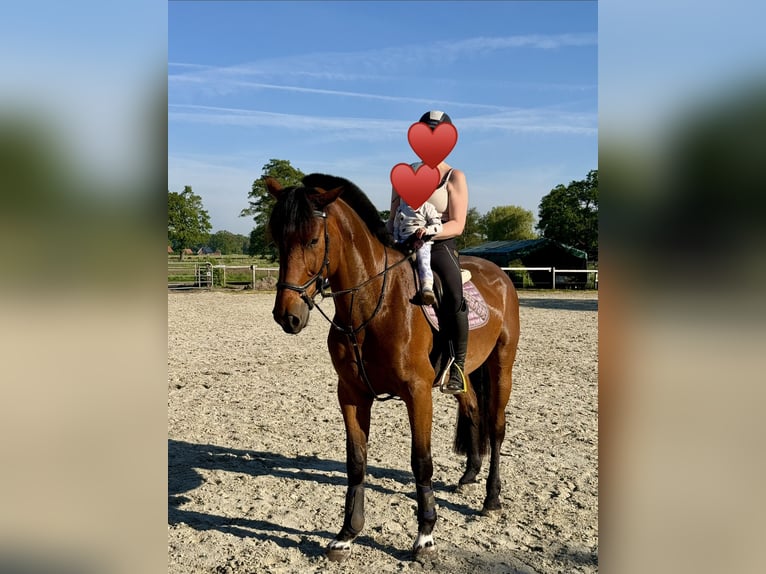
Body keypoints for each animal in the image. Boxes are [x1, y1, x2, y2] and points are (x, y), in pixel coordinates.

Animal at [266, 173, 520, 561]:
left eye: (312, 239)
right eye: (278, 239)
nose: (287, 316)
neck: (374, 305)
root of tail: (500, 275)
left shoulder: (417, 393)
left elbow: (421, 461)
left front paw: (425, 536)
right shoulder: (351, 394)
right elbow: (356, 461)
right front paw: (347, 534)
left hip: (502, 365)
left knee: (496, 426)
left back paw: (491, 499)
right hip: (462, 376)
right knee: (473, 409)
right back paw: (468, 477)